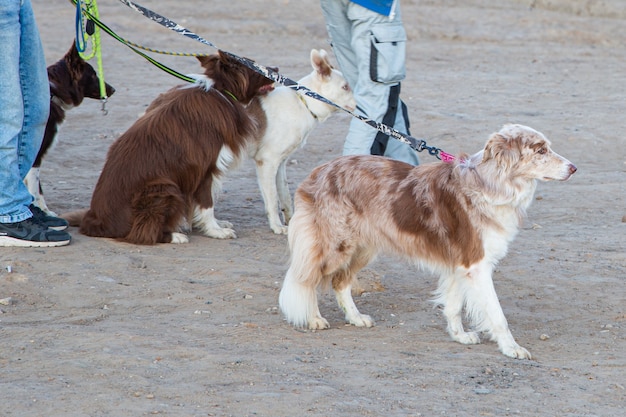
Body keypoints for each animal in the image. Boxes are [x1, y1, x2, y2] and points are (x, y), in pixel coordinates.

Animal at [25, 43, 116, 214]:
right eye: (93, 74)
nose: (113, 89)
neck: (53, 94)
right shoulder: (36, 152)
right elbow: (35, 187)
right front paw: (42, 211)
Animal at [62, 50, 272, 244]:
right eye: (255, 67)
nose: (276, 69)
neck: (221, 90)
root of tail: (95, 223)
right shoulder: (205, 168)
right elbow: (207, 203)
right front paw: (215, 230)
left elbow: (196, 204)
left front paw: (207, 224)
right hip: (165, 188)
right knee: (142, 233)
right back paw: (174, 236)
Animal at [245, 48, 356, 234]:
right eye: (345, 87)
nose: (361, 106)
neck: (303, 103)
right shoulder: (267, 161)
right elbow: (272, 199)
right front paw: (277, 226)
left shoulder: (280, 163)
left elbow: (284, 194)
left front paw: (291, 221)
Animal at [278, 123, 576, 358]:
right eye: (540, 150)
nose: (574, 168)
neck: (493, 184)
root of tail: (316, 173)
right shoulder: (476, 264)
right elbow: (496, 313)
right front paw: (511, 348)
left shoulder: (460, 264)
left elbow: (454, 305)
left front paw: (459, 336)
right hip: (335, 245)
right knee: (308, 277)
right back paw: (313, 318)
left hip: (364, 247)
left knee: (340, 282)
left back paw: (355, 317)